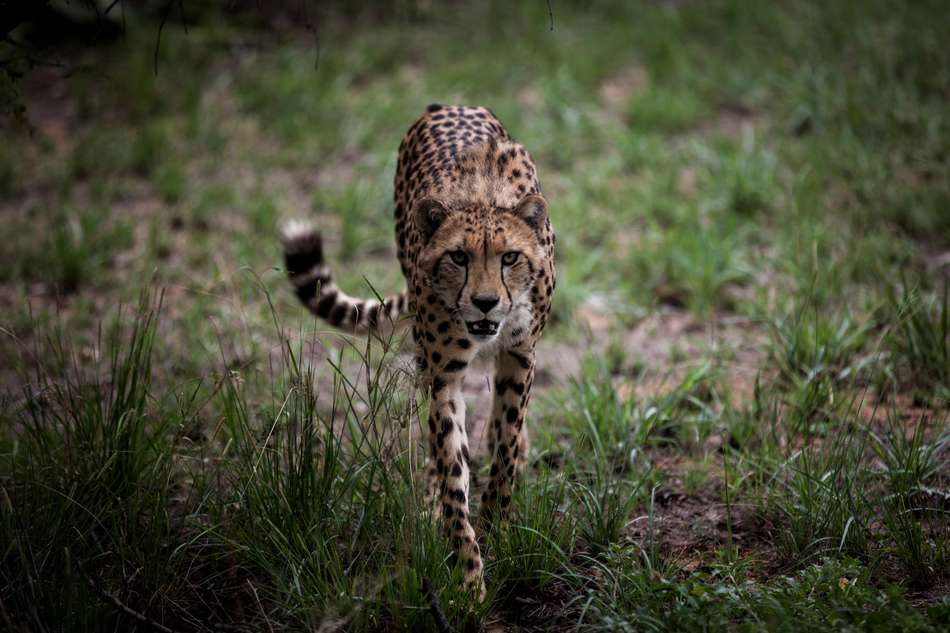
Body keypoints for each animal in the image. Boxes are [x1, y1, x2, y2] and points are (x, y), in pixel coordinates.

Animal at [278, 103, 556, 592]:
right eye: (459, 257)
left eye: (510, 257)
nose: (486, 302)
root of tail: (448, 104)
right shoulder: (444, 377)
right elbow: (451, 470)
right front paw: (468, 578)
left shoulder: (520, 357)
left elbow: (504, 446)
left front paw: (498, 527)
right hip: (427, 359)